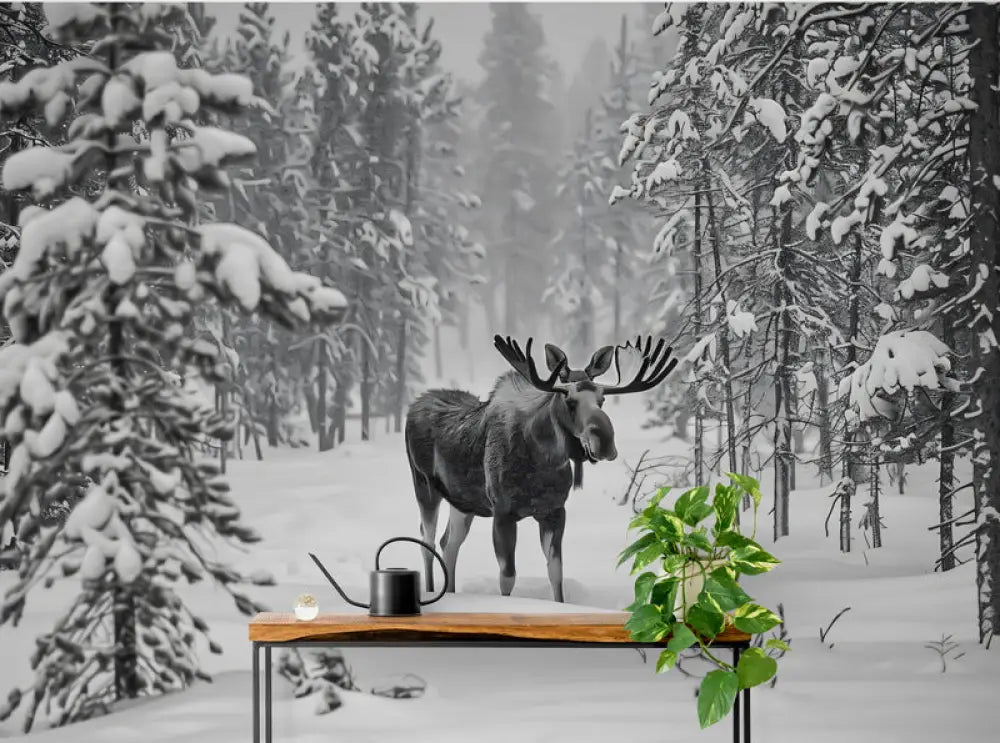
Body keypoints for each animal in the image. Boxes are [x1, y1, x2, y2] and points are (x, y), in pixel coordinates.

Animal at [406, 338, 680, 604]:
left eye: (602, 401)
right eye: (570, 401)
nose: (604, 442)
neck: (543, 462)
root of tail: (414, 404)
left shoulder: (554, 511)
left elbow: (556, 572)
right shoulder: (503, 513)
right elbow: (507, 577)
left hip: (463, 502)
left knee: (449, 543)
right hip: (424, 487)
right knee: (427, 541)